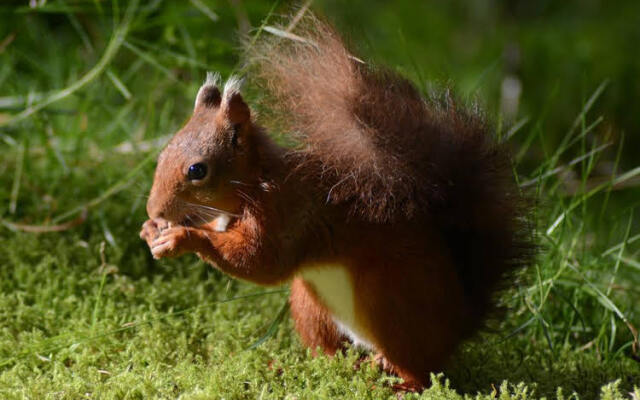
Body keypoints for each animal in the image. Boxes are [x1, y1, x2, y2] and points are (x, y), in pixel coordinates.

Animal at [141, 14, 536, 390]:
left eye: (197, 170)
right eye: (163, 152)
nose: (153, 210)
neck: (255, 182)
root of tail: (459, 324)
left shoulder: (287, 210)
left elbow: (261, 262)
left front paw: (182, 237)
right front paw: (152, 230)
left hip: (390, 303)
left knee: (421, 371)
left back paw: (397, 383)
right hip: (311, 306)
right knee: (330, 353)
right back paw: (305, 367)